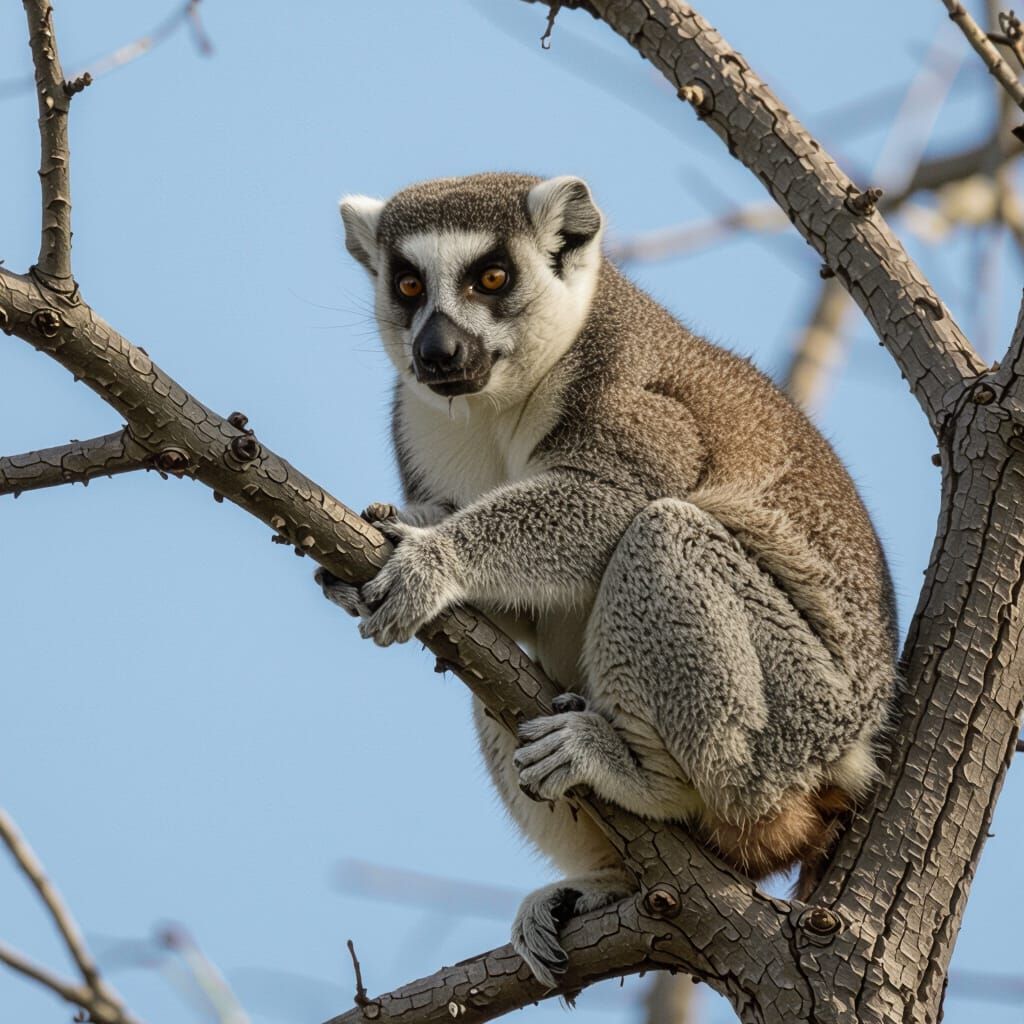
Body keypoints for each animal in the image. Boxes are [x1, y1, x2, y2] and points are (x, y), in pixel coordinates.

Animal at [317, 172, 898, 988]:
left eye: (491, 278)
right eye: (407, 285)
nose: (437, 350)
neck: (497, 405)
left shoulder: (631, 396)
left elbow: (620, 500)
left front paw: (436, 559)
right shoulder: (421, 426)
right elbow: (512, 616)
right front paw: (389, 530)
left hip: (803, 716)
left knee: (665, 533)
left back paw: (645, 778)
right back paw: (608, 886)